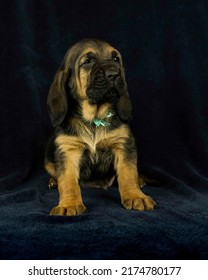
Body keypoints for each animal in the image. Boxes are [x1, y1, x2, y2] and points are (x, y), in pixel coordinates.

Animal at [45, 38, 156, 215]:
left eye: (116, 59)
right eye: (87, 61)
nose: (115, 74)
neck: (94, 119)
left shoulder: (124, 145)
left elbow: (128, 173)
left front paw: (135, 196)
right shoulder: (67, 150)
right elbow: (68, 181)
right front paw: (69, 204)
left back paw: (140, 181)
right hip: (48, 157)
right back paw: (53, 181)